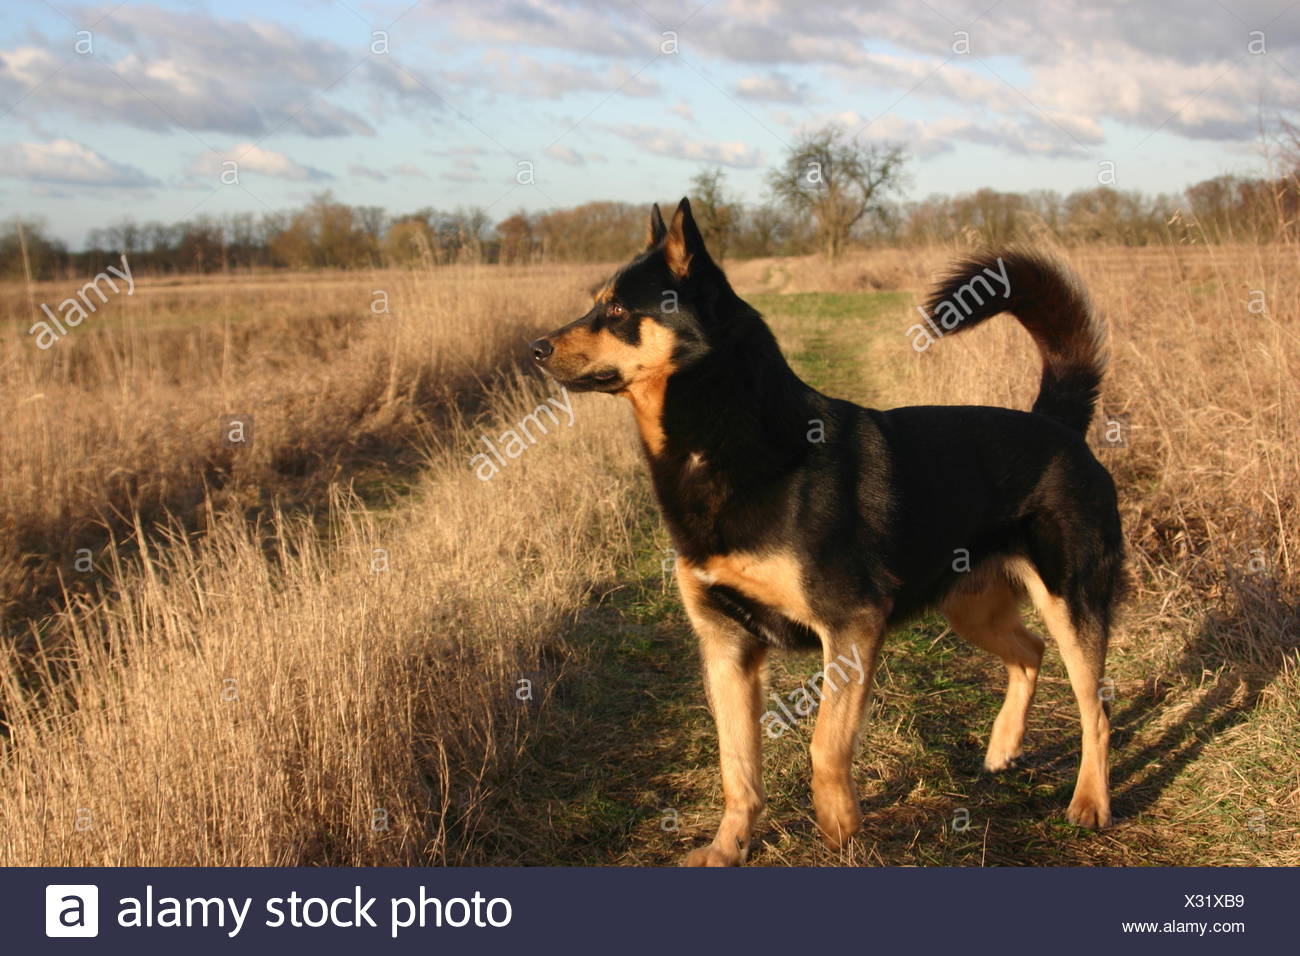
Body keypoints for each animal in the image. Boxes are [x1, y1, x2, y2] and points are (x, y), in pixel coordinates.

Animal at [533, 200, 1123, 868]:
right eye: (596, 304)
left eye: (616, 311)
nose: (535, 348)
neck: (726, 441)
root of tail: (1059, 423)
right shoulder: (726, 646)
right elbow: (737, 766)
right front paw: (729, 846)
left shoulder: (851, 626)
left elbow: (824, 745)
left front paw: (839, 826)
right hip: (972, 608)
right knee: (1030, 653)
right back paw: (1003, 747)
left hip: (1071, 601)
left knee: (1096, 709)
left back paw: (1090, 802)